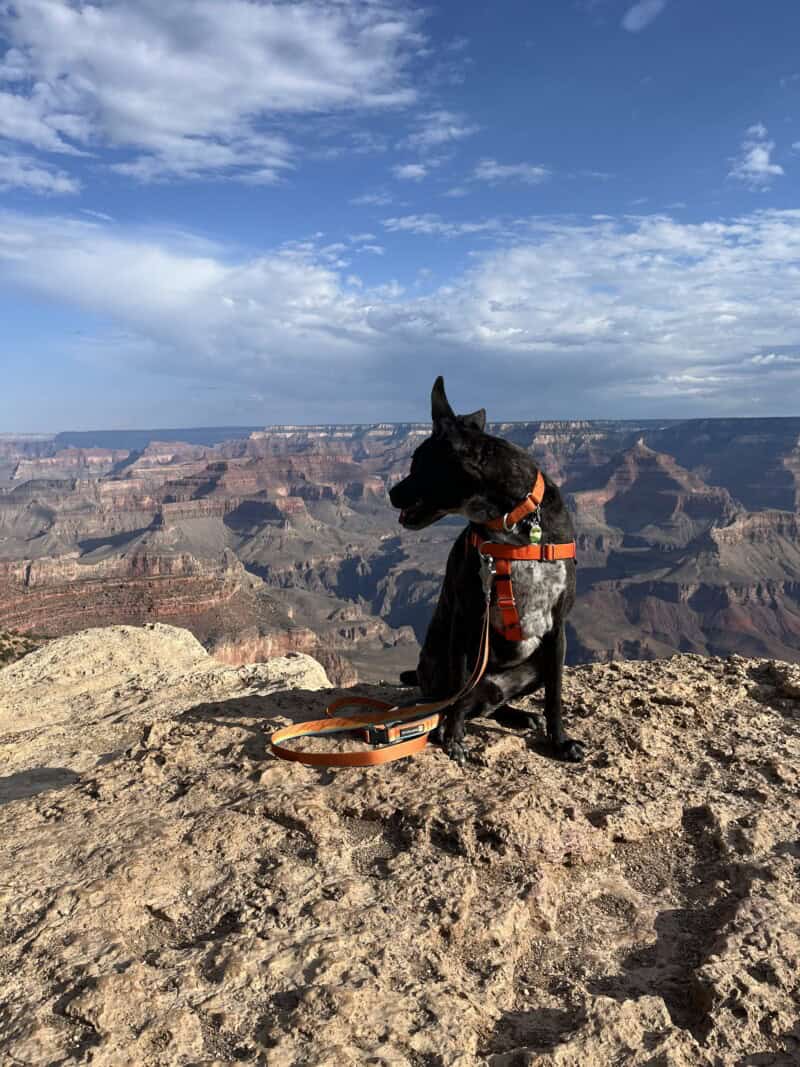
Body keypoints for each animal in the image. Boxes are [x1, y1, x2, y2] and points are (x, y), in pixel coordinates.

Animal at [388, 377, 584, 768]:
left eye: (418, 464)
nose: (389, 493)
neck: (514, 522)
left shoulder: (558, 629)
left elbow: (555, 696)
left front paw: (559, 742)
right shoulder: (467, 619)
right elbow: (459, 694)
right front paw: (453, 739)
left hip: (535, 664)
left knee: (492, 703)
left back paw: (520, 715)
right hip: (439, 663)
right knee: (460, 699)